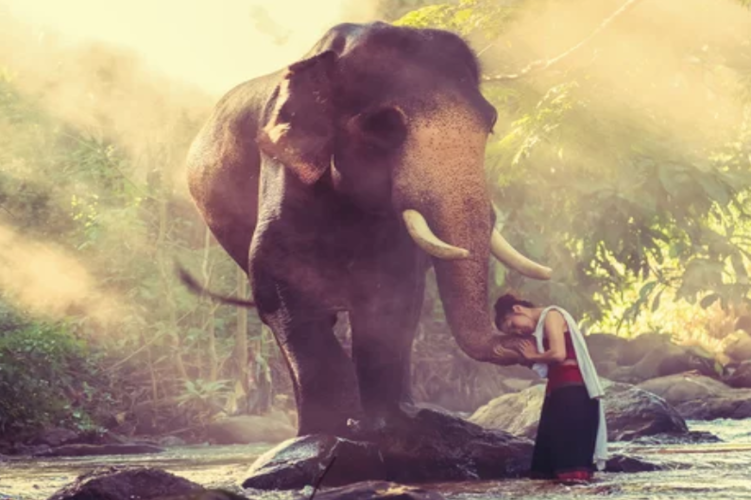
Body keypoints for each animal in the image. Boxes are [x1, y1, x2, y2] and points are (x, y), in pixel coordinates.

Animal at [185, 21, 552, 436]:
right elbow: (279, 286)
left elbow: (391, 296)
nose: (524, 336)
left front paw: (380, 424)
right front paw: (331, 429)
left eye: (490, 123)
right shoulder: (282, 168)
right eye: (384, 127)